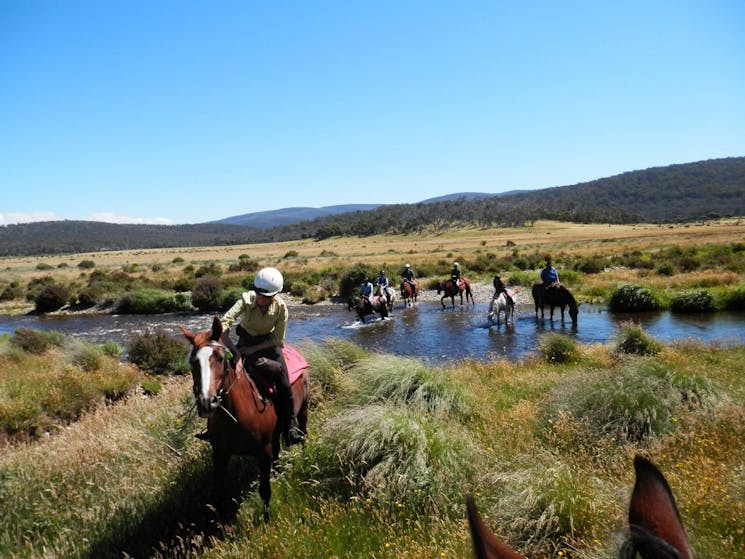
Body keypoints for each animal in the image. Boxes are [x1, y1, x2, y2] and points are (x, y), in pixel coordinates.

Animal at [182, 318, 310, 524]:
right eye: (193, 361)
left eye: (220, 358)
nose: (207, 402)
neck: (238, 415)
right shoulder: (220, 454)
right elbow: (219, 495)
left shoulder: (263, 451)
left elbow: (265, 490)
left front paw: (266, 521)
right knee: (277, 449)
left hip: (303, 410)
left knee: (304, 432)